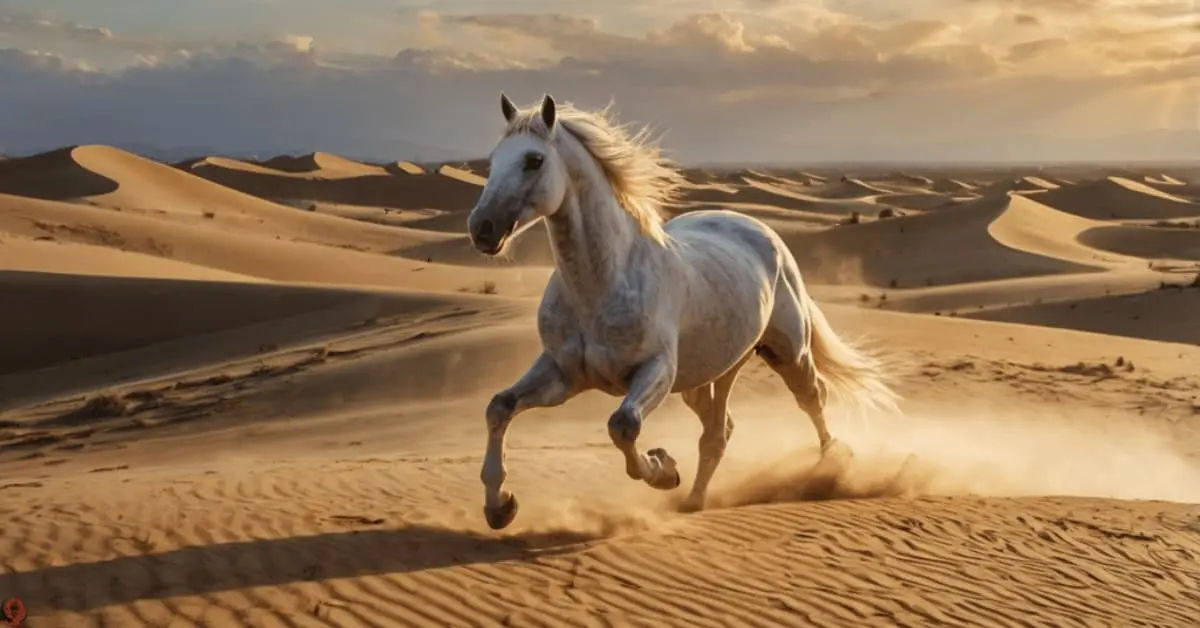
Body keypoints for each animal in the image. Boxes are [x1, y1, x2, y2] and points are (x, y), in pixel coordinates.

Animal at [466, 92, 900, 530]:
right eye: (494, 159)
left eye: (533, 160)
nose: (482, 229)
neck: (601, 285)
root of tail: (759, 228)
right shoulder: (563, 374)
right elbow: (498, 407)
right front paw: (499, 506)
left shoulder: (656, 369)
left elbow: (624, 425)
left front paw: (664, 469)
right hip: (709, 375)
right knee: (718, 431)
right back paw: (694, 500)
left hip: (787, 353)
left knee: (811, 399)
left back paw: (833, 463)